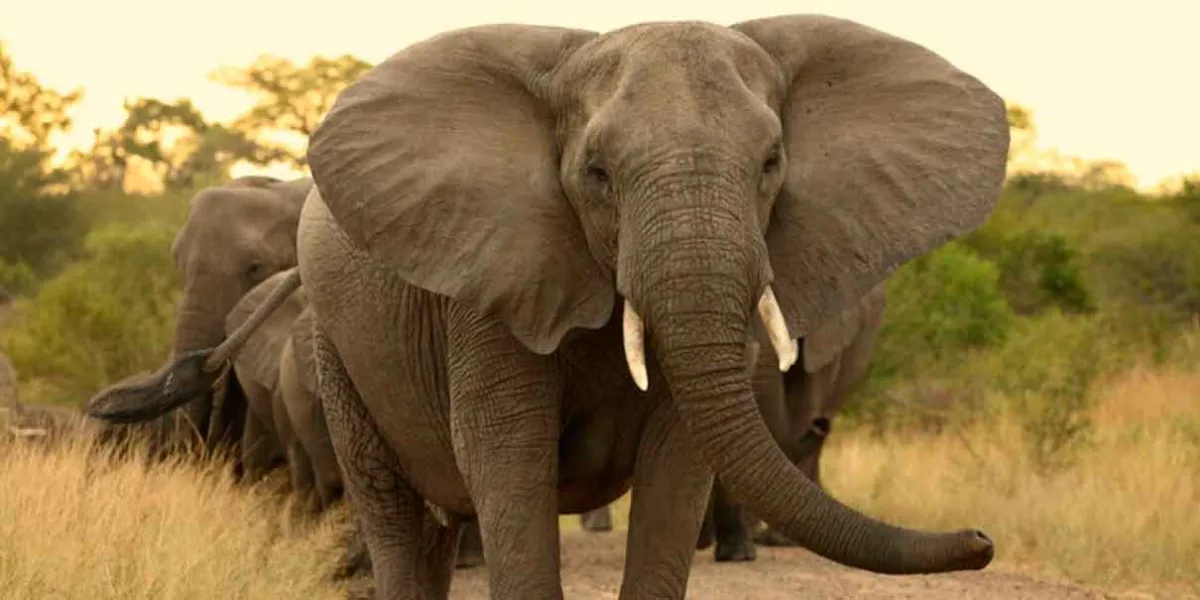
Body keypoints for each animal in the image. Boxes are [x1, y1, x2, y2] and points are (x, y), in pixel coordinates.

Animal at [87, 14, 1010, 599]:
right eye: (596, 173)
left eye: (772, 164)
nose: (981, 539)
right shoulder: (489, 286)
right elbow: (511, 468)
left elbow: (677, 469)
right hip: (339, 354)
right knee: (397, 521)